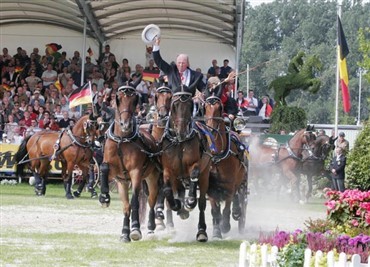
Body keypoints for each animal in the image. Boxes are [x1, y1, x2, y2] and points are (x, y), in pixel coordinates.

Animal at [98, 84, 160, 243]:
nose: (125, 124)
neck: (121, 140)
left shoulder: (135, 173)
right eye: (118, 99)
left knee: (151, 200)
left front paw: (135, 229)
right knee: (128, 205)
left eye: (134, 101)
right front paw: (104, 197)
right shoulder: (118, 176)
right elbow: (104, 167)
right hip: (124, 182)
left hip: (152, 178)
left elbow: (135, 202)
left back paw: (151, 229)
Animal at [158, 84, 211, 243]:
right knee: (177, 193)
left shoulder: (195, 165)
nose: (182, 132)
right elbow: (168, 191)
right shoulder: (168, 170)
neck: (179, 142)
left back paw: (201, 231)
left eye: (190, 105)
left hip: (205, 175)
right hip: (178, 178)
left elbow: (194, 175)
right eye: (174, 105)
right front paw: (178, 206)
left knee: (202, 203)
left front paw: (190, 201)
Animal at [204, 94, 247, 239]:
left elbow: (227, 207)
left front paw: (225, 226)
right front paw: (217, 231)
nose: (211, 129)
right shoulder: (210, 186)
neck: (217, 155)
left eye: (219, 108)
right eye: (205, 107)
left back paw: (238, 212)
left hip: (240, 180)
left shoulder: (229, 184)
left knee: (238, 196)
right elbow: (215, 210)